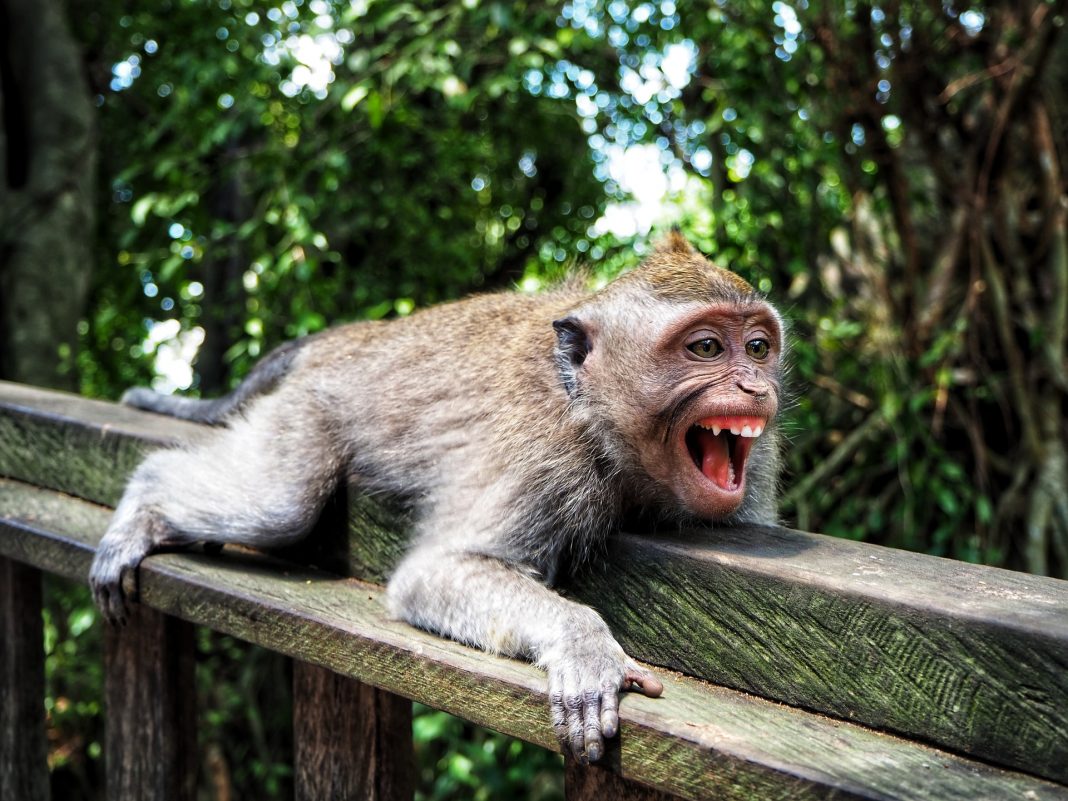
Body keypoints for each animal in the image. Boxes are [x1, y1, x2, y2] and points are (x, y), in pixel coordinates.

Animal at [91, 233, 786, 764]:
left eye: (757, 347)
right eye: (705, 347)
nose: (757, 388)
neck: (591, 410)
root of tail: (349, 338)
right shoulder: (544, 451)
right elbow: (434, 573)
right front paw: (585, 643)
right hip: (312, 404)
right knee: (278, 506)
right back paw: (145, 503)